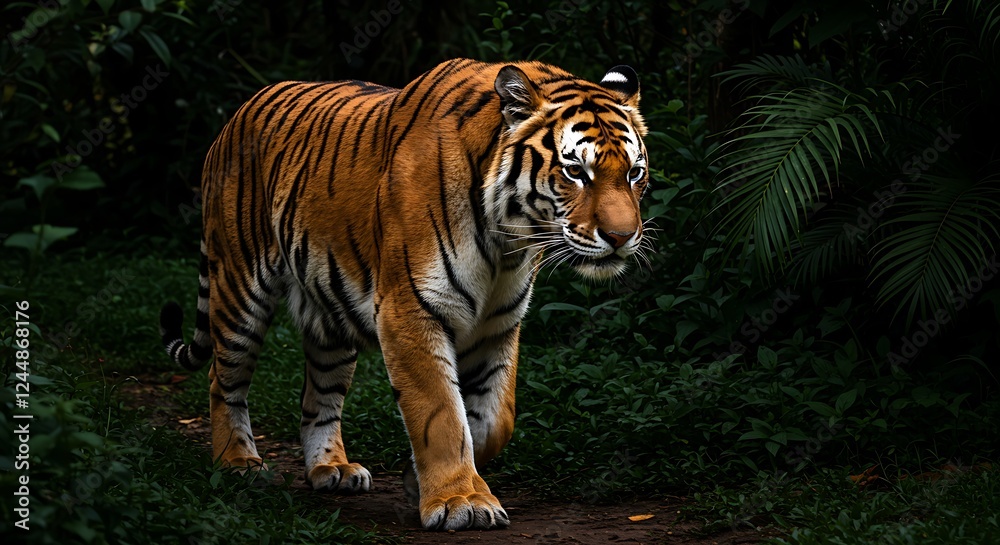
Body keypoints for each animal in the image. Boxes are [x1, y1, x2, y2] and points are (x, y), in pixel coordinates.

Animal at [158, 58, 649, 531]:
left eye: (635, 173)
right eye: (575, 172)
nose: (622, 237)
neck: (506, 241)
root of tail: (237, 113)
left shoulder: (499, 322)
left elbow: (495, 419)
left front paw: (419, 481)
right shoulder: (410, 311)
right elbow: (441, 414)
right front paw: (460, 502)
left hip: (329, 315)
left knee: (319, 396)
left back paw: (331, 469)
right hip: (238, 286)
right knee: (223, 379)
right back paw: (237, 462)